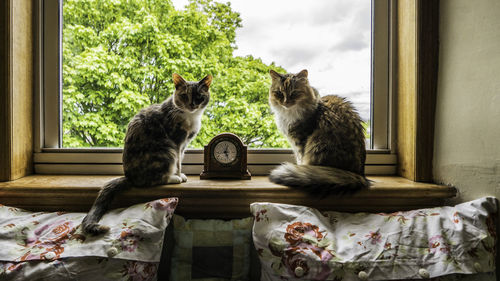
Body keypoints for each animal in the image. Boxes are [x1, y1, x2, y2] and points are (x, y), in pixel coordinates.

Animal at [83, 72, 212, 234]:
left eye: (199, 96)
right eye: (183, 96)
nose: (191, 105)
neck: (190, 116)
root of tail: (130, 177)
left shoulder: (184, 145)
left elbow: (181, 160)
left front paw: (180, 174)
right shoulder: (176, 142)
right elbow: (178, 162)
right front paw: (178, 175)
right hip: (166, 150)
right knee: (152, 180)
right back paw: (173, 178)